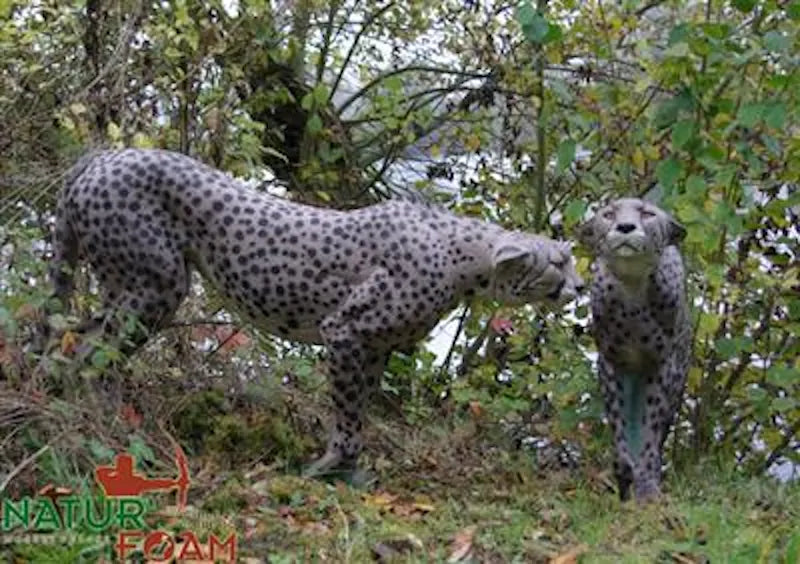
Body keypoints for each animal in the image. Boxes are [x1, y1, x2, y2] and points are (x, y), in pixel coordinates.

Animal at [49, 147, 584, 479]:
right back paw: (108, 429)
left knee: (69, 339)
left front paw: (349, 469)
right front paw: (328, 467)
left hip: (128, 286)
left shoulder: (375, 347)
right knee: (90, 354)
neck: (458, 254)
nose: (580, 287)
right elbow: (347, 413)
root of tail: (106, 155)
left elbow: (360, 408)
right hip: (155, 285)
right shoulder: (345, 331)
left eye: (569, 256)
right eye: (557, 263)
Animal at [577, 197, 691, 503]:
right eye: (608, 214)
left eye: (648, 214)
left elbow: (650, 430)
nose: (625, 227)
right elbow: (619, 425)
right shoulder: (610, 362)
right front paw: (624, 471)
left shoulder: (662, 365)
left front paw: (647, 486)